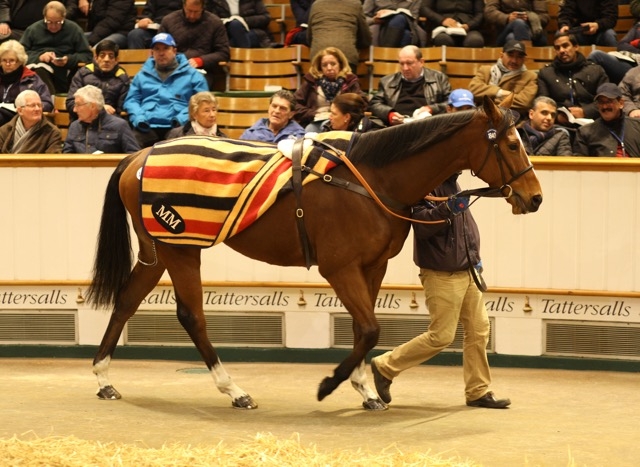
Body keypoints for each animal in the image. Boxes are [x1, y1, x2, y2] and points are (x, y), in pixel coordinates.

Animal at [87, 97, 544, 412]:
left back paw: (103, 378)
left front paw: (366, 388)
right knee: (192, 316)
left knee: (127, 300)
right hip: (180, 250)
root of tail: (141, 154)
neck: (369, 179)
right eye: (510, 144)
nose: (535, 197)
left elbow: (363, 328)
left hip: (158, 250)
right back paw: (234, 390)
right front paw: (332, 384)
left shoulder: (372, 267)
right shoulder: (339, 268)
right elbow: (371, 329)